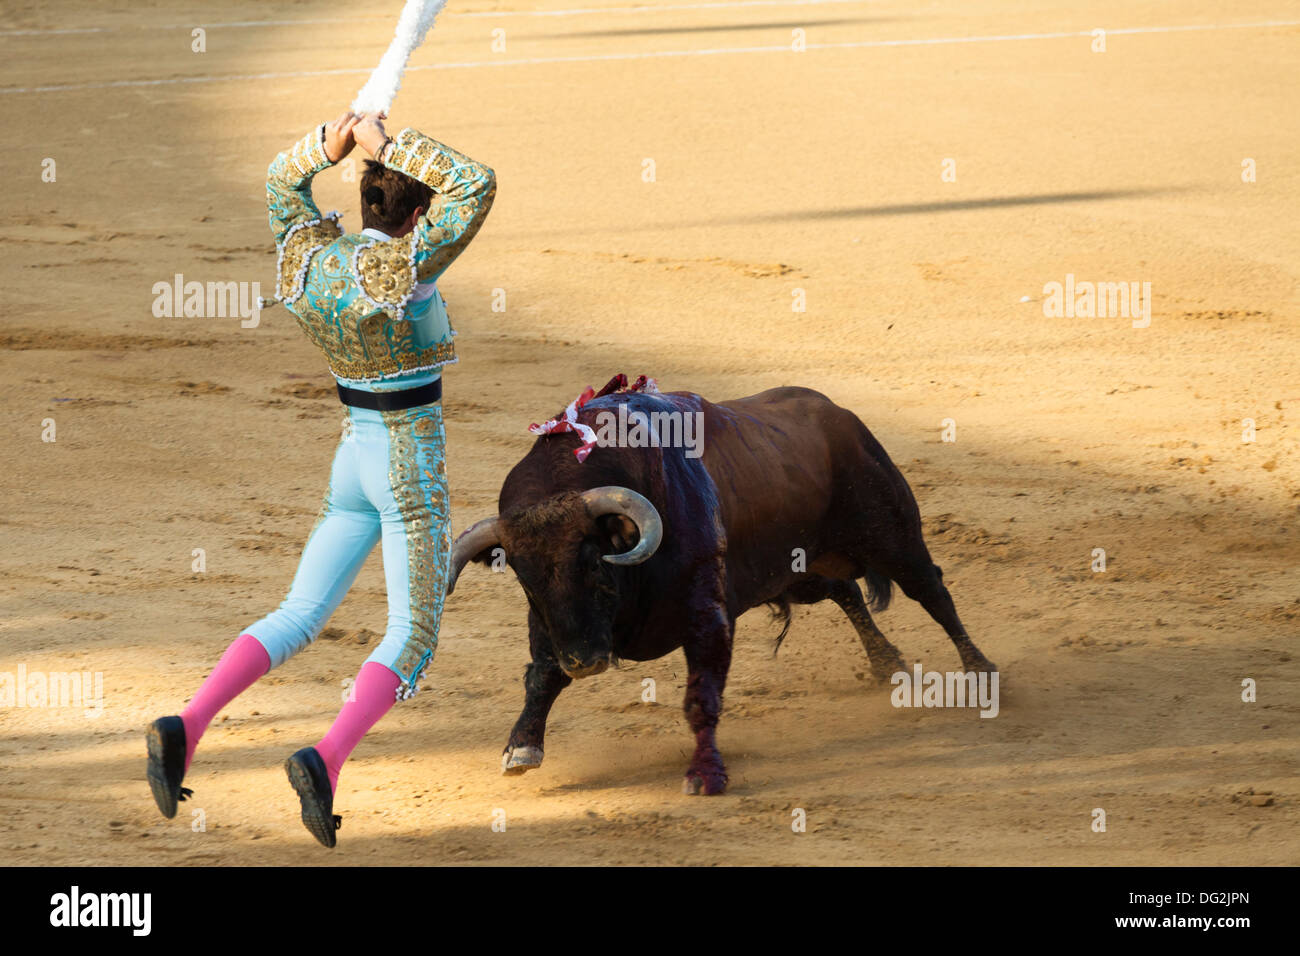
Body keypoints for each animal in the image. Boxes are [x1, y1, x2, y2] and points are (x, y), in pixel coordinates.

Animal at [447, 385, 993, 796]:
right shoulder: (552, 627)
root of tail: (840, 416)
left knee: (933, 593)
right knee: (849, 593)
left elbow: (701, 698)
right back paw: (886, 663)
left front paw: (705, 775)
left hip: (893, 535)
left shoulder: (708, 618)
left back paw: (980, 672)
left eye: (594, 563)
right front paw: (521, 748)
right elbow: (541, 676)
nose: (585, 663)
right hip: (801, 571)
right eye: (525, 577)